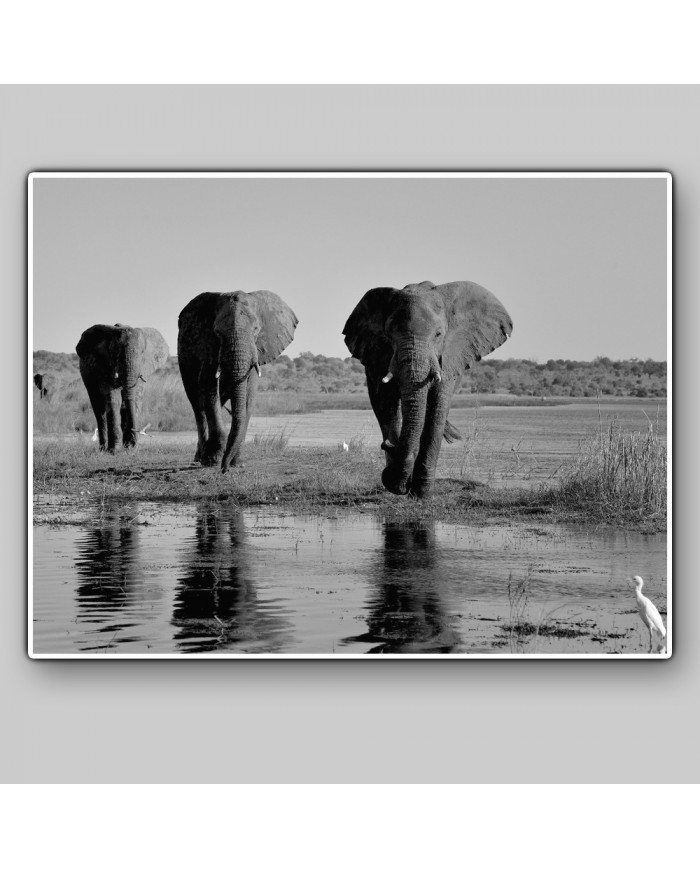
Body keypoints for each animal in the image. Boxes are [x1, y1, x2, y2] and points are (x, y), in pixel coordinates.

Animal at [76, 323, 169, 452]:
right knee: (99, 409)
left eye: (142, 353)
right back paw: (102, 449)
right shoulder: (104, 365)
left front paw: (129, 448)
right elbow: (114, 399)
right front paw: (114, 450)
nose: (134, 443)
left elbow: (134, 400)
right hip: (88, 378)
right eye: (117, 352)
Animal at [177, 291, 298, 470]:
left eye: (256, 329)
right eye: (217, 332)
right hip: (184, 360)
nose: (224, 469)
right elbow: (209, 391)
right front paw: (213, 460)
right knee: (197, 406)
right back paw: (201, 458)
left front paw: (237, 463)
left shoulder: (256, 352)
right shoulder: (208, 347)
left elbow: (248, 397)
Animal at [343, 280, 512, 498]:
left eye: (439, 335)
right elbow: (387, 404)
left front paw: (422, 493)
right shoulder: (379, 356)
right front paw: (399, 483)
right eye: (390, 335)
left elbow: (437, 408)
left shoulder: (449, 357)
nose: (387, 445)